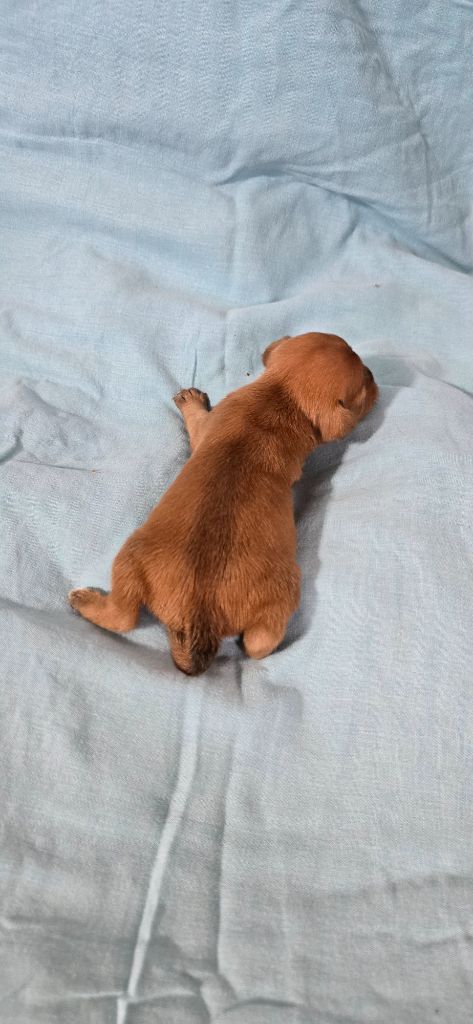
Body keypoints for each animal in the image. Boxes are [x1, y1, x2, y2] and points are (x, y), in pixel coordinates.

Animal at [69, 332, 378, 674]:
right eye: (365, 380)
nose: (376, 378)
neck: (282, 397)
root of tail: (199, 615)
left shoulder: (204, 428)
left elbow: (196, 422)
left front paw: (191, 401)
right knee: (257, 644)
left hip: (130, 557)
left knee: (123, 618)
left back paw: (83, 600)